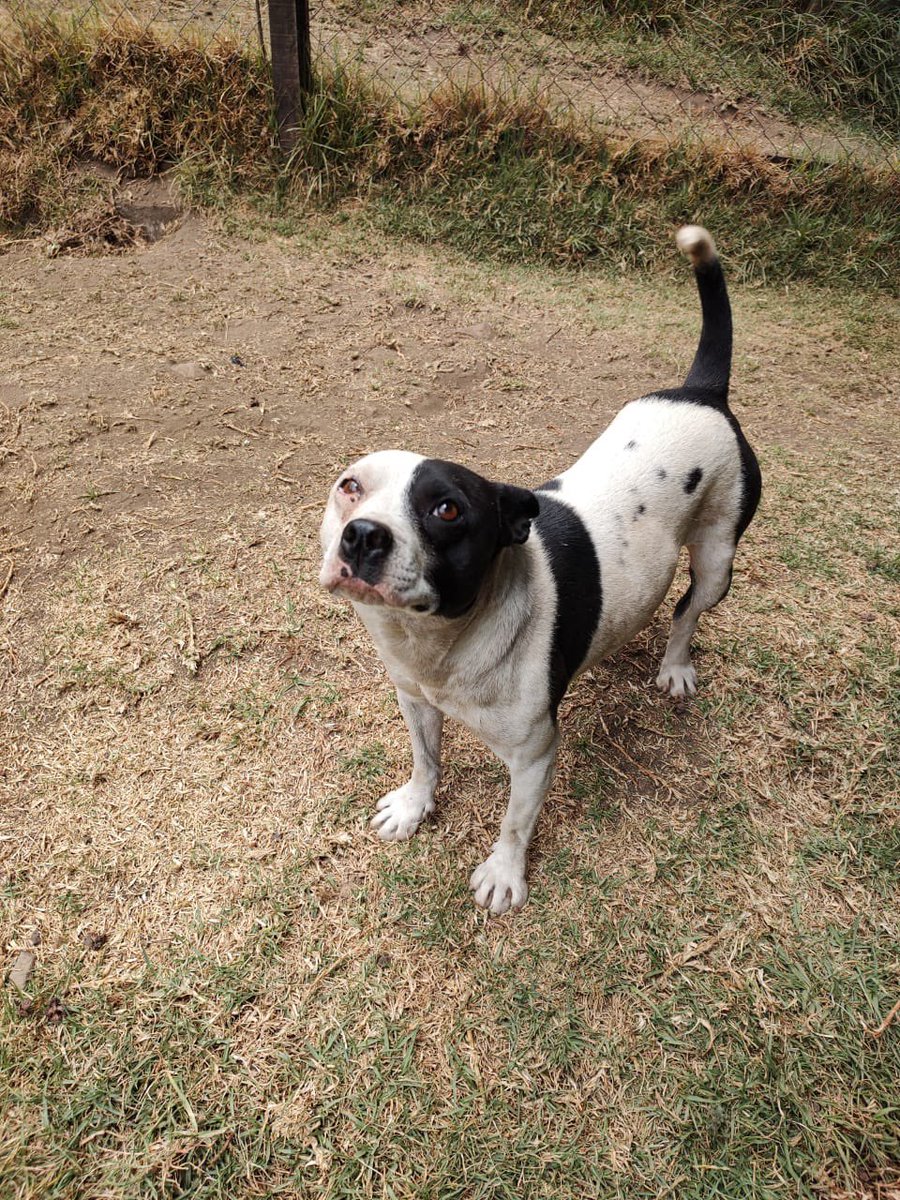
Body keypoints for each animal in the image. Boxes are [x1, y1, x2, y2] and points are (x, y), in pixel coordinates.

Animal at [321, 225, 763, 912]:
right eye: (351, 486)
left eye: (447, 509)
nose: (362, 535)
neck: (440, 642)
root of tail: (703, 393)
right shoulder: (414, 700)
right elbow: (425, 758)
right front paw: (416, 806)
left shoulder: (533, 755)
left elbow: (513, 822)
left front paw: (504, 875)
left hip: (718, 559)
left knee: (687, 610)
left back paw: (675, 667)